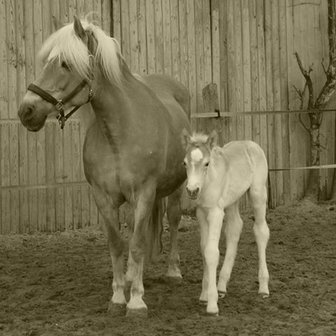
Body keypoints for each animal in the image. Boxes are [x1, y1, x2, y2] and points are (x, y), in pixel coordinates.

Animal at [18, 17, 190, 318]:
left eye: (65, 64)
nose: (26, 110)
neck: (120, 132)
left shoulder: (144, 194)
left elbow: (137, 244)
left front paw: (136, 302)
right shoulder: (104, 198)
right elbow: (118, 244)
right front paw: (119, 296)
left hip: (176, 188)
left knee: (174, 219)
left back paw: (172, 272)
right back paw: (135, 276)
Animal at [181, 131, 270, 316]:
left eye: (206, 163)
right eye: (185, 163)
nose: (192, 190)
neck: (208, 182)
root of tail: (250, 143)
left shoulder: (216, 212)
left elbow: (211, 252)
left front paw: (212, 305)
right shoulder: (201, 213)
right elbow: (204, 249)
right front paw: (204, 295)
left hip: (258, 192)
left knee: (261, 231)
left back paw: (264, 288)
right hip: (232, 200)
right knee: (235, 227)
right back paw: (221, 286)